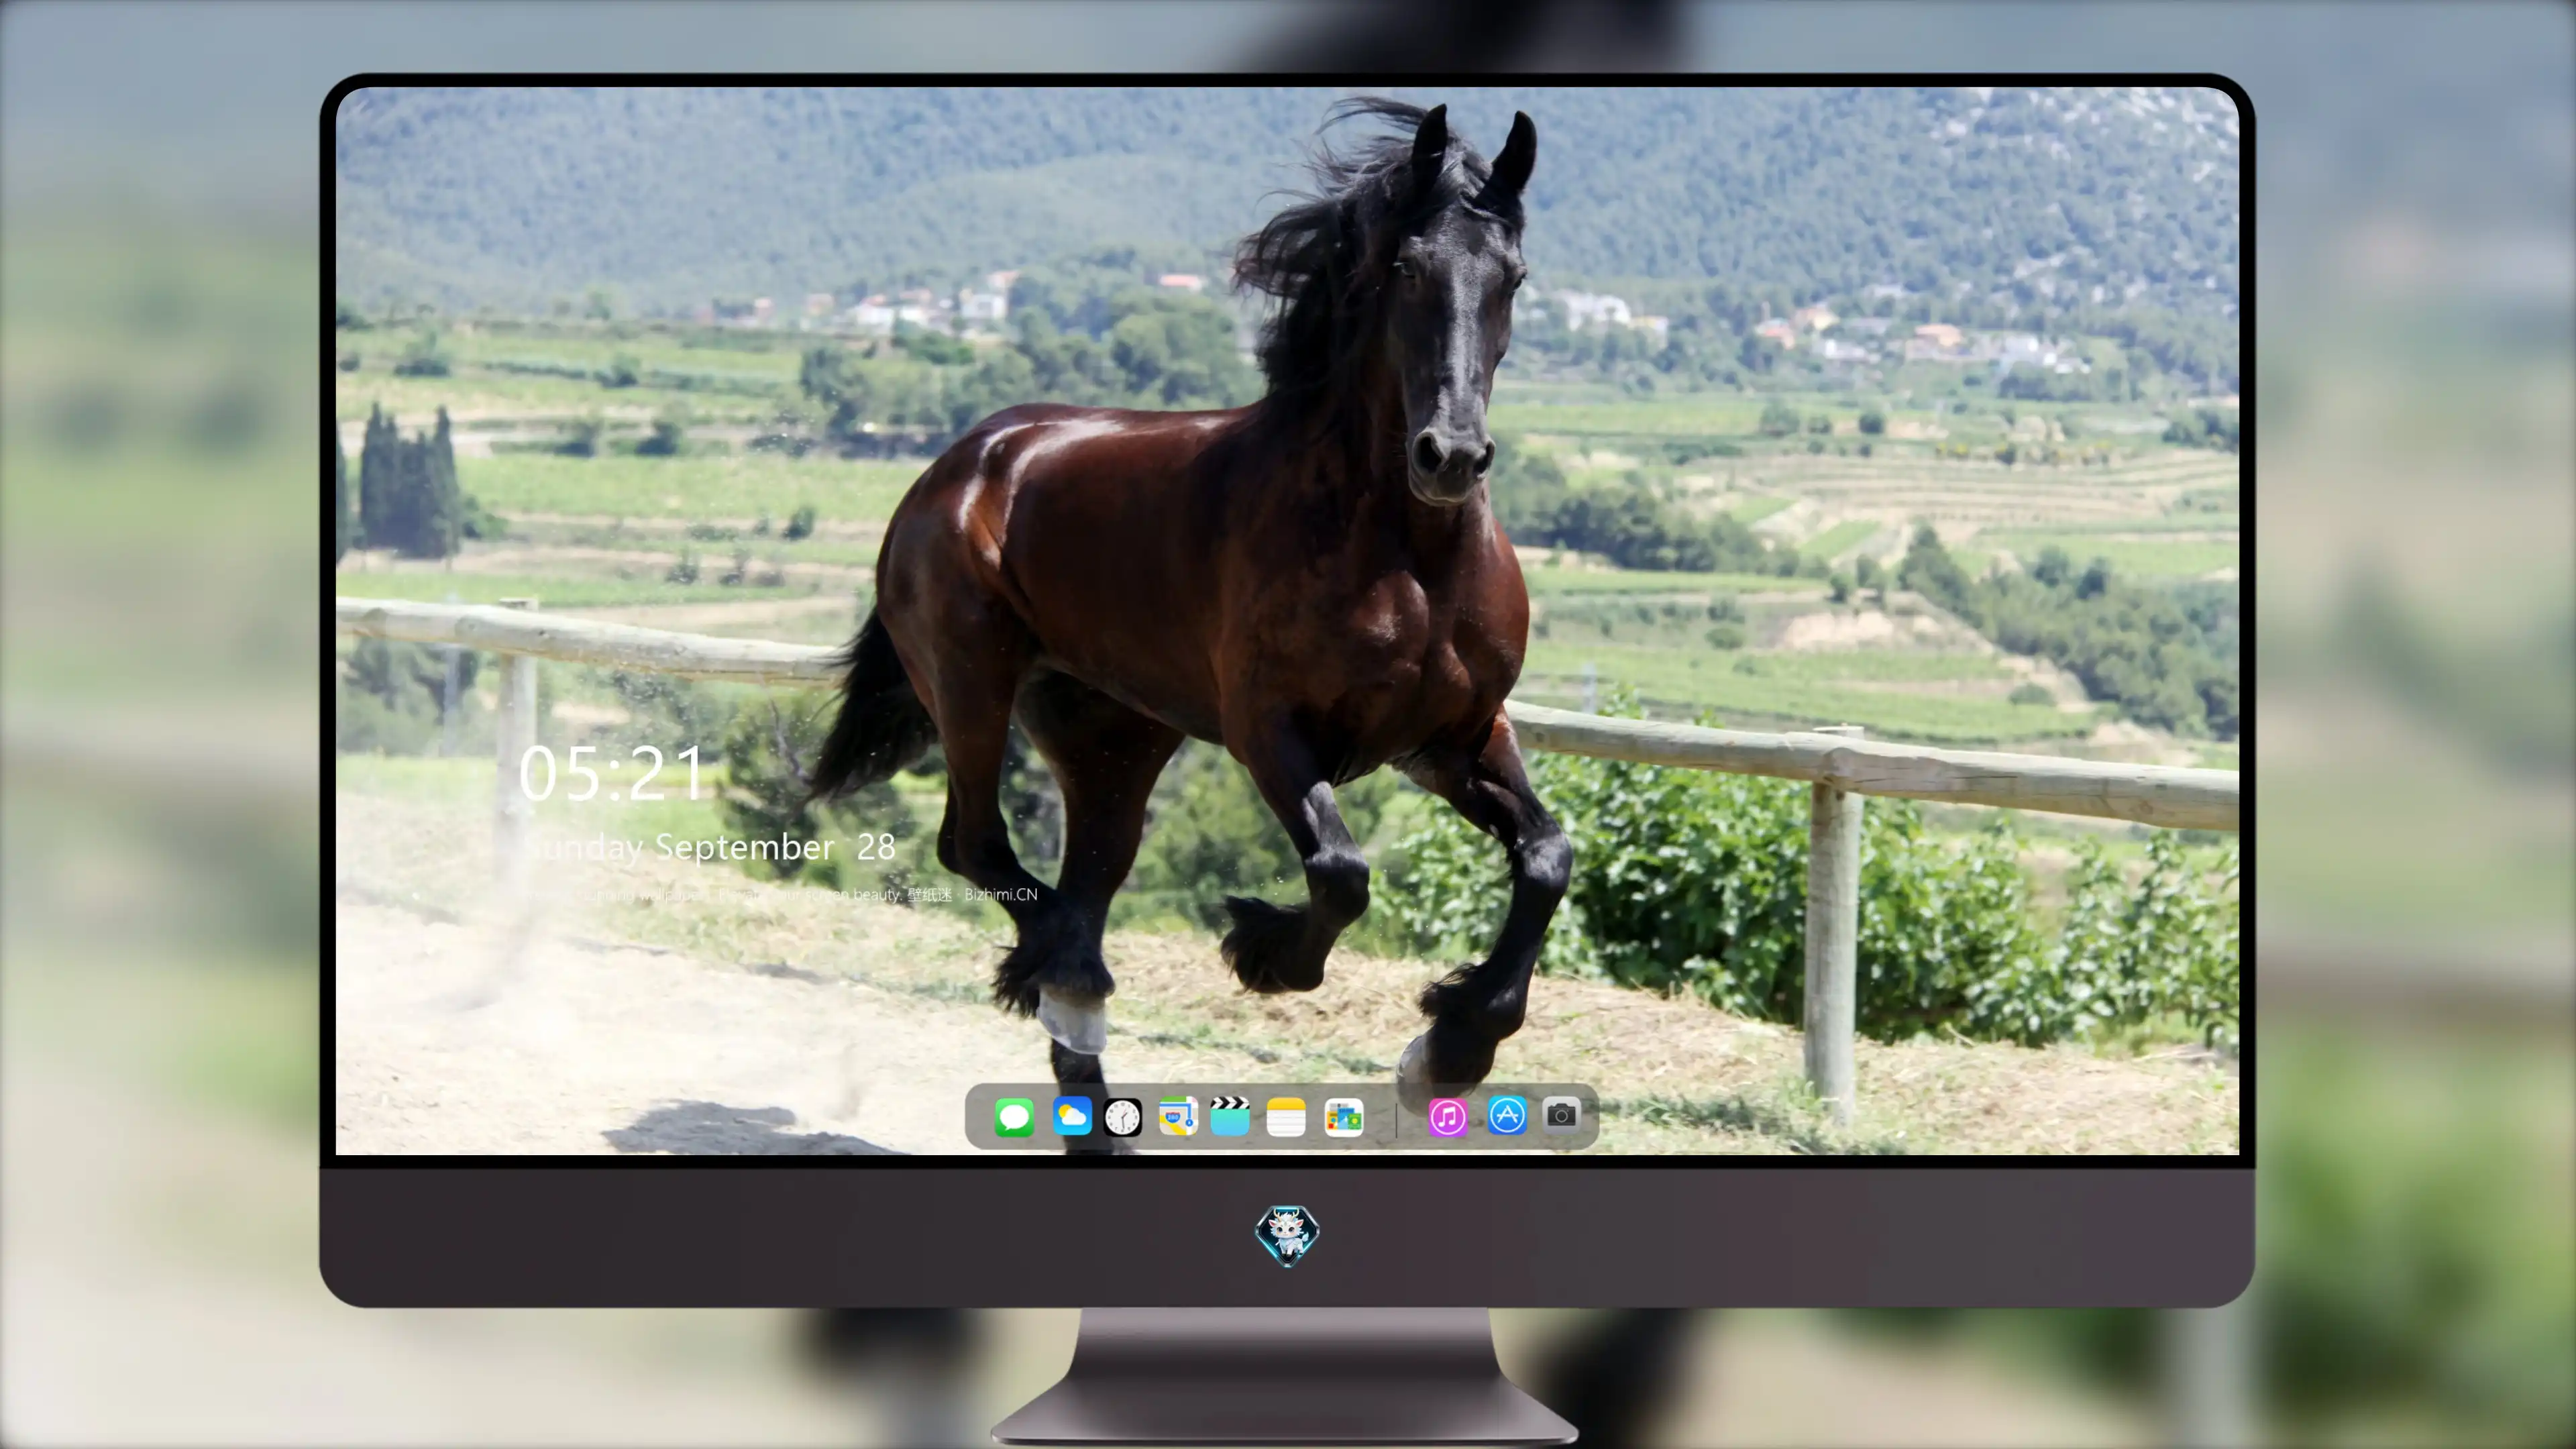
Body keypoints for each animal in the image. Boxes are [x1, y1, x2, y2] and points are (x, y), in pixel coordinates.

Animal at [805, 99, 1566, 1149]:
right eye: (1410, 268)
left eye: (1513, 277)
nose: (1449, 456)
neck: (1407, 554)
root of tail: (963, 461)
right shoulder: (1269, 731)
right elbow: (1340, 870)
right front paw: (1264, 951)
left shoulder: (1453, 737)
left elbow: (1546, 859)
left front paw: (1451, 1048)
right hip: (971, 684)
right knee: (978, 847)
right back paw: (1068, 980)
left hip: (1113, 739)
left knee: (1083, 874)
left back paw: (1085, 1073)